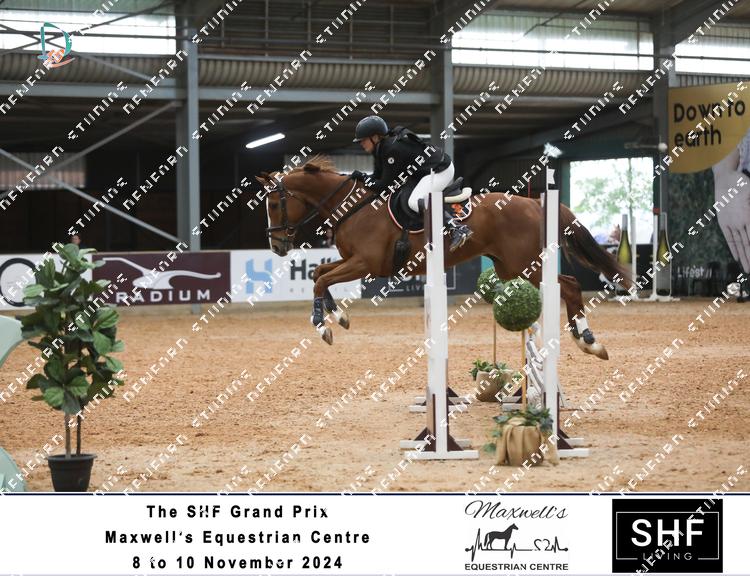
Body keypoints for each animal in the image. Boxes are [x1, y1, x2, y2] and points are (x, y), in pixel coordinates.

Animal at [258, 155, 632, 360]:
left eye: (274, 204)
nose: (277, 246)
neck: (353, 208)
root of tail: (533, 203)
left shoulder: (366, 263)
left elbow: (320, 279)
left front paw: (323, 326)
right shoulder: (351, 261)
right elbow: (318, 274)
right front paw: (340, 316)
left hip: (527, 264)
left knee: (569, 286)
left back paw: (589, 341)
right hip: (512, 267)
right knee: (565, 287)